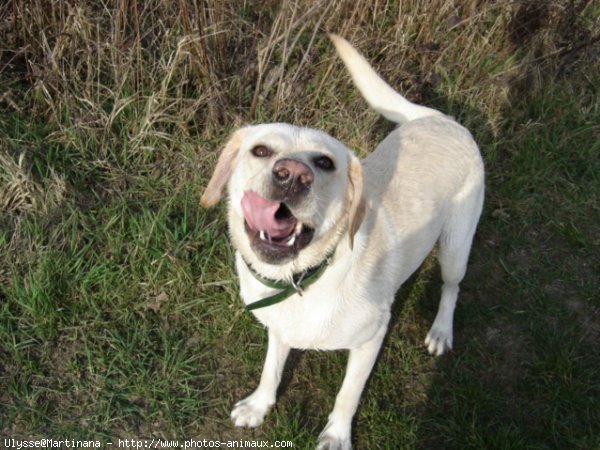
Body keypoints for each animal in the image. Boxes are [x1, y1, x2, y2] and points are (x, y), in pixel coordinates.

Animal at [200, 36, 482, 450]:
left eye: (325, 163)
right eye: (261, 151)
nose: (292, 175)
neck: (302, 279)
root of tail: (441, 119)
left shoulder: (371, 340)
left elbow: (347, 395)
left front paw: (335, 435)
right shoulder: (279, 328)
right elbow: (271, 368)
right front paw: (258, 405)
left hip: (455, 247)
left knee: (451, 286)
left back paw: (441, 331)